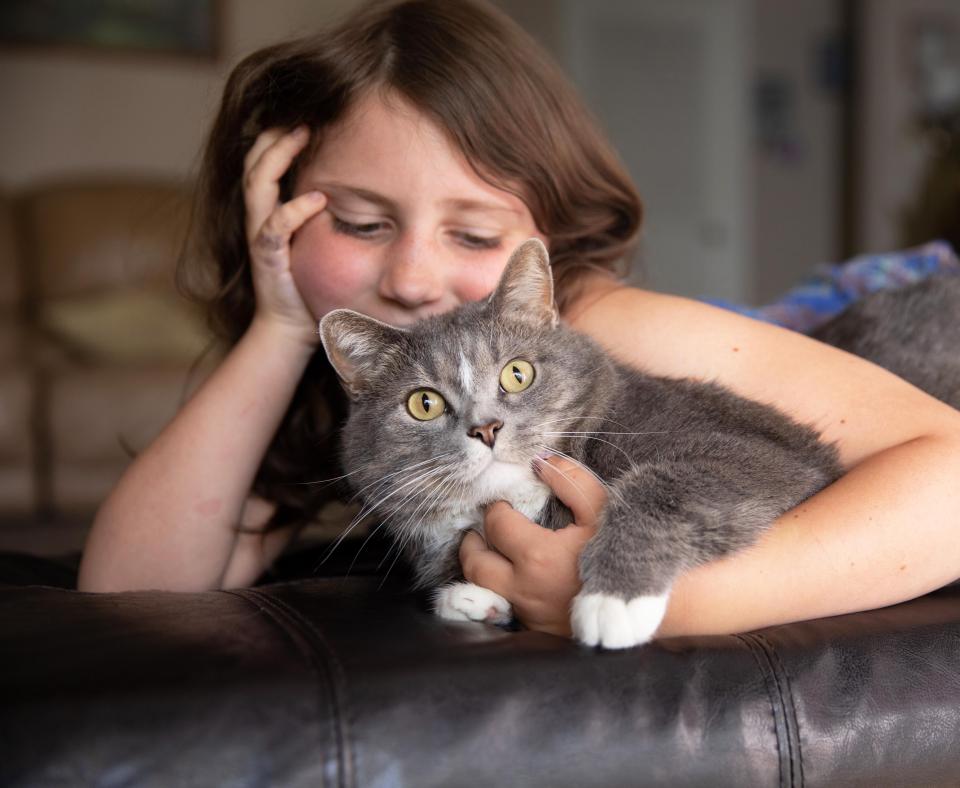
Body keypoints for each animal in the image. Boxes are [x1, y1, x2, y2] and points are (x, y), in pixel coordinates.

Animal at [318, 239, 852, 648]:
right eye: (424, 403)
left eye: (517, 373)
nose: (486, 428)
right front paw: (471, 597)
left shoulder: (768, 455)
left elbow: (665, 486)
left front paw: (612, 600)